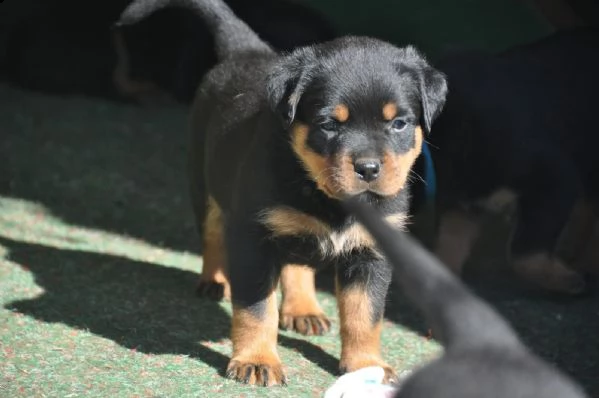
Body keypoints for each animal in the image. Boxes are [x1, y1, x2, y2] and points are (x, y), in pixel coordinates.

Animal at [118, 0, 446, 388]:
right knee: (213, 235)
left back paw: (304, 308)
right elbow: (257, 308)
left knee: (297, 261)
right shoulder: (254, 237)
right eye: (328, 124)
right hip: (205, 182)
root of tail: (247, 49)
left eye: (398, 124)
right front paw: (257, 361)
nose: (368, 169)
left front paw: (367, 366)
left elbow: (365, 314)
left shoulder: (371, 252)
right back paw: (214, 281)